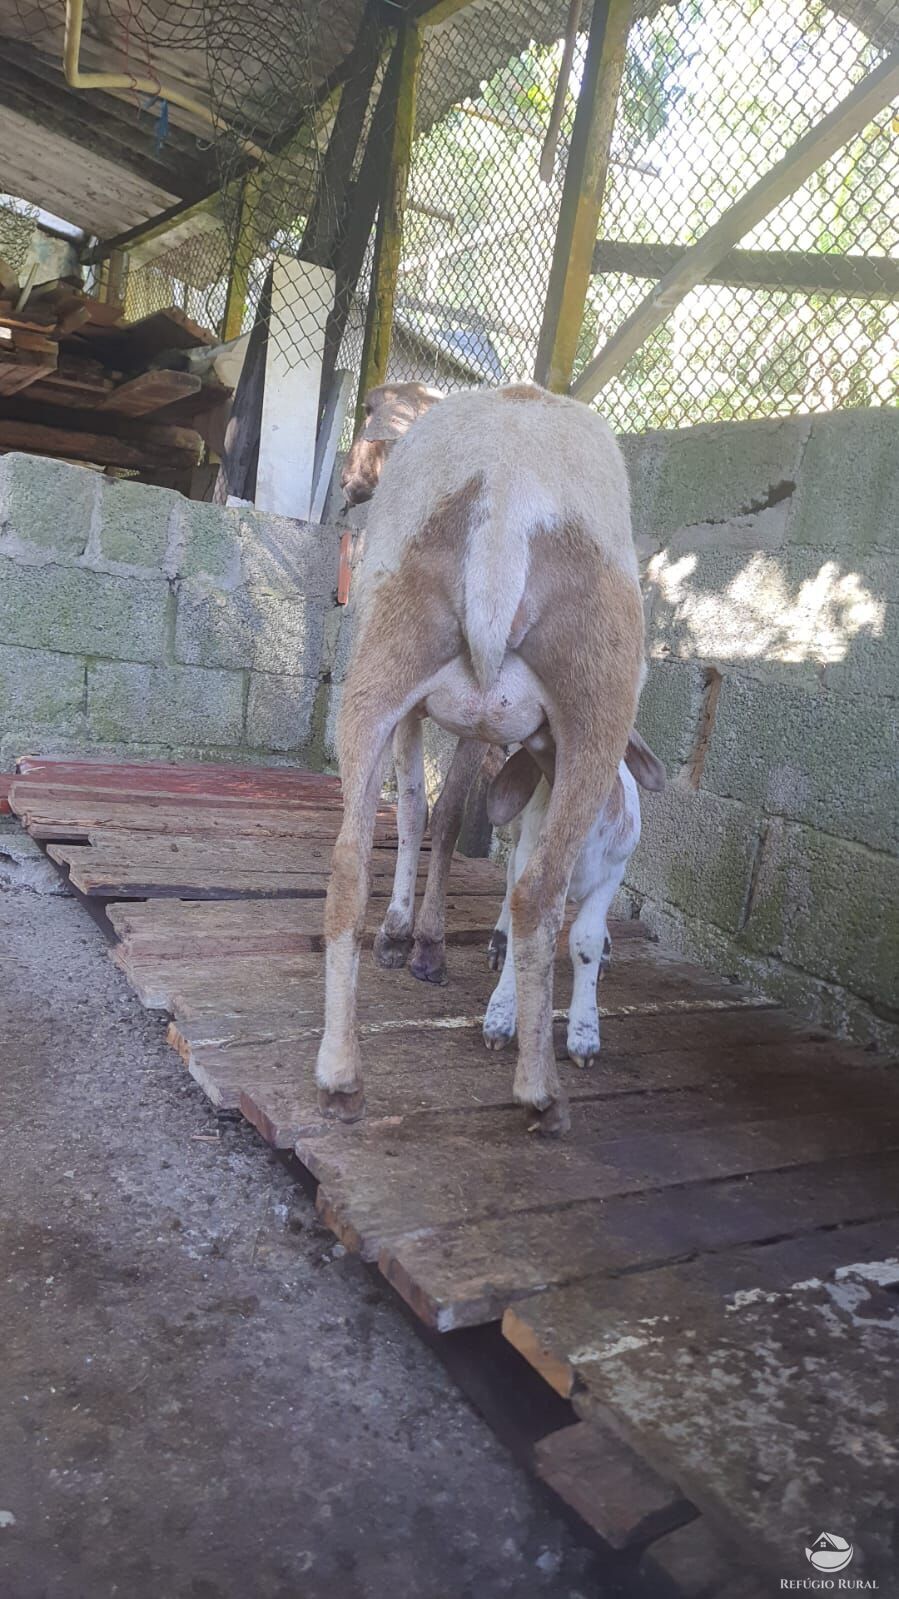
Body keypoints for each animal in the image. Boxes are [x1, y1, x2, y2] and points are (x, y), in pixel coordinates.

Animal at [479, 732, 662, 1068]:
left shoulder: (611, 874)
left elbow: (587, 938)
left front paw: (584, 1036)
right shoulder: (530, 858)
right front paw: (499, 1019)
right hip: (517, 834)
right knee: (509, 883)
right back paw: (498, 943)